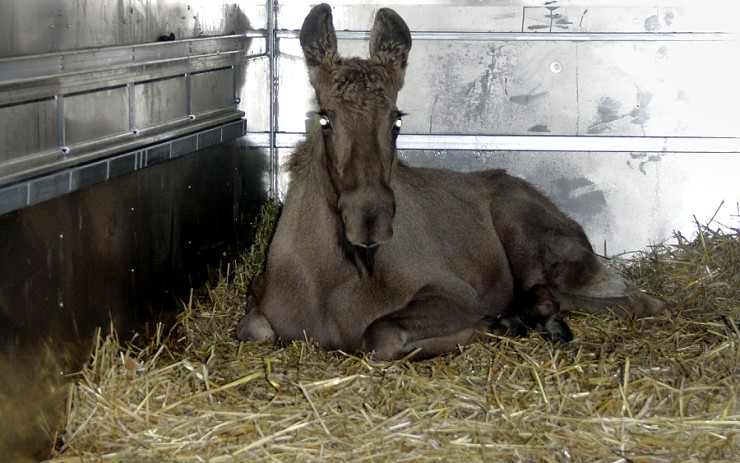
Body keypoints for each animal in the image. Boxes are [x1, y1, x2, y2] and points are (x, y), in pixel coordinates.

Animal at [238, 3, 664, 360]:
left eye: (397, 119)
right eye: (325, 118)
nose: (370, 221)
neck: (336, 281)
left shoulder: (453, 293)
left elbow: (380, 334)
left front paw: (490, 325)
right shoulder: (259, 306)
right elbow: (254, 328)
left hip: (540, 251)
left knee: (635, 300)